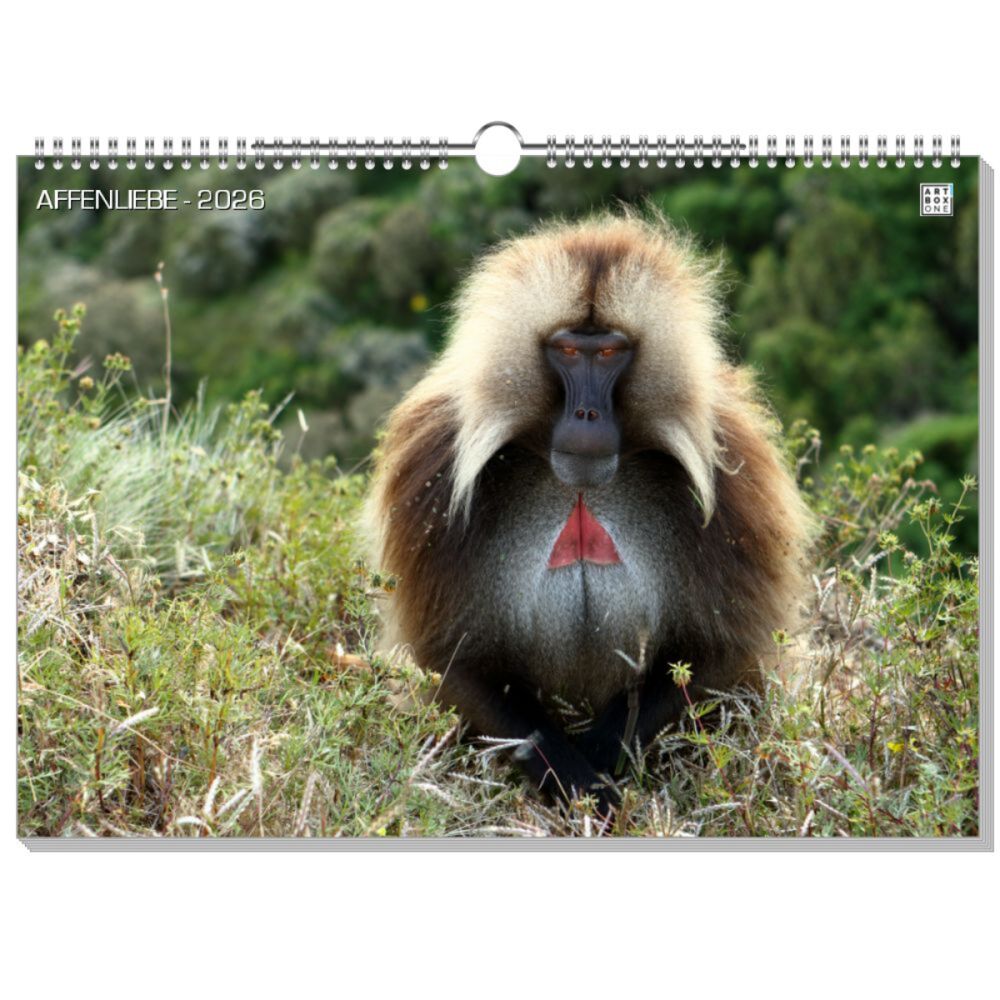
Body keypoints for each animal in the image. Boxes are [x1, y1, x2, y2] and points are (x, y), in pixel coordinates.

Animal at [365, 210, 812, 818]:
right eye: (569, 351)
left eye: (609, 354)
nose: (587, 415)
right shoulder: (431, 469)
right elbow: (454, 661)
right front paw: (575, 778)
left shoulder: (736, 476)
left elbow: (724, 653)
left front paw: (598, 761)